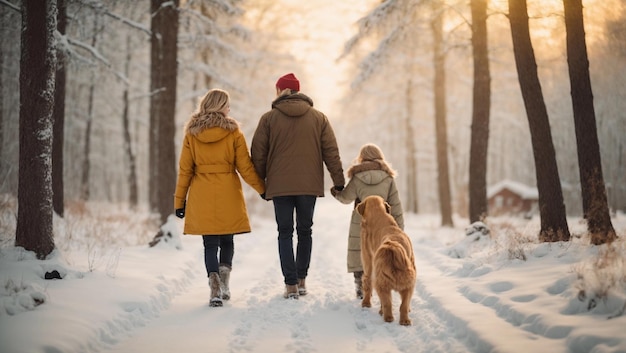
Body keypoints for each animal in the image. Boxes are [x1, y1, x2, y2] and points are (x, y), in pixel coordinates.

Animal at [356, 194, 414, 324]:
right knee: (403, 304)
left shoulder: (367, 260)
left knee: (385, 301)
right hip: (408, 282)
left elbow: (367, 282)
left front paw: (366, 303)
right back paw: (404, 320)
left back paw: (385, 316)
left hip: (379, 279)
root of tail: (393, 247)